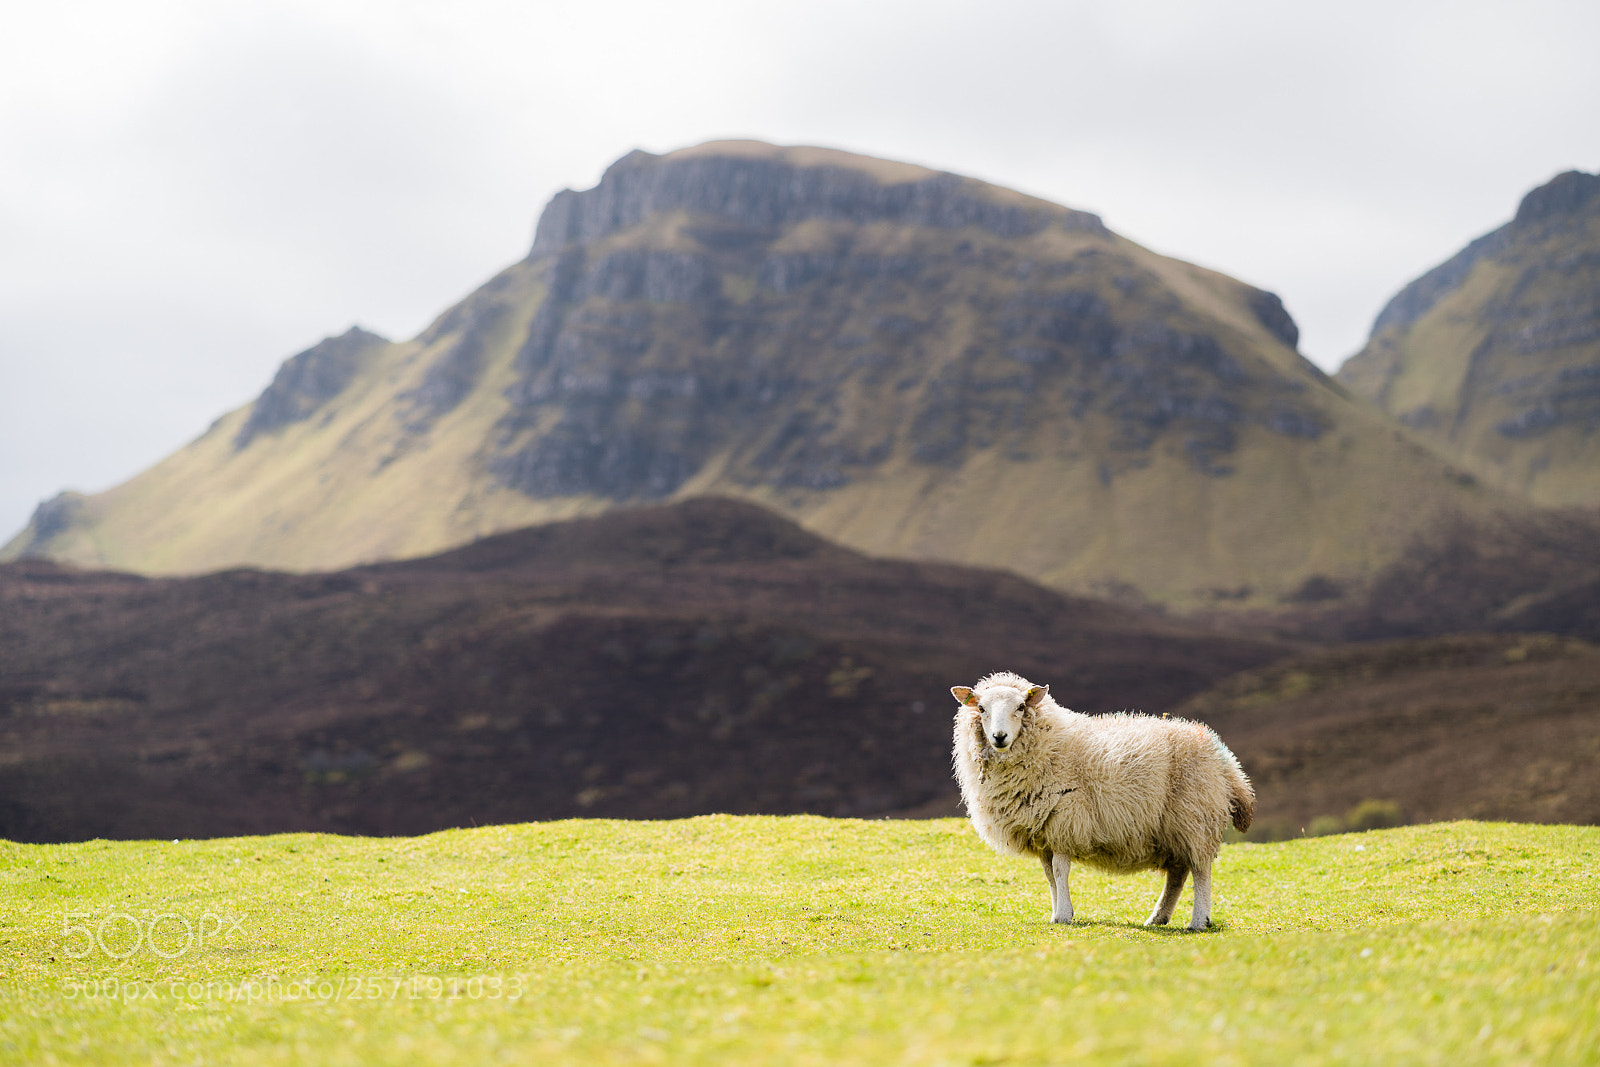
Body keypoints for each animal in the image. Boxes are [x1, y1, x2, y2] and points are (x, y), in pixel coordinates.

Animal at [950, 671, 1254, 931]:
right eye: (981, 709)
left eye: (1021, 707)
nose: (999, 737)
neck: (1046, 746)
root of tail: (1221, 753)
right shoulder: (1043, 833)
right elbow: (1049, 876)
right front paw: (1056, 912)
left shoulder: (1065, 822)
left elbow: (1060, 871)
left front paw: (1064, 915)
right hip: (1172, 828)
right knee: (1178, 874)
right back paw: (1158, 918)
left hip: (1196, 817)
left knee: (1201, 871)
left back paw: (1198, 920)